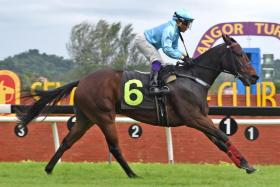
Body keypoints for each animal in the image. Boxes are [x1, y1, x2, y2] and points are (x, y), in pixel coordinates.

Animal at [16, 34, 260, 177]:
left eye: (246, 55)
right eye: (240, 54)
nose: (255, 77)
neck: (193, 78)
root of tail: (82, 80)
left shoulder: (200, 118)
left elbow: (220, 141)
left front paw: (245, 164)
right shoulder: (193, 118)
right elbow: (224, 136)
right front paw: (247, 164)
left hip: (86, 118)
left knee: (67, 141)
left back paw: (48, 169)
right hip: (104, 116)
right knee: (114, 147)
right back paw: (133, 174)